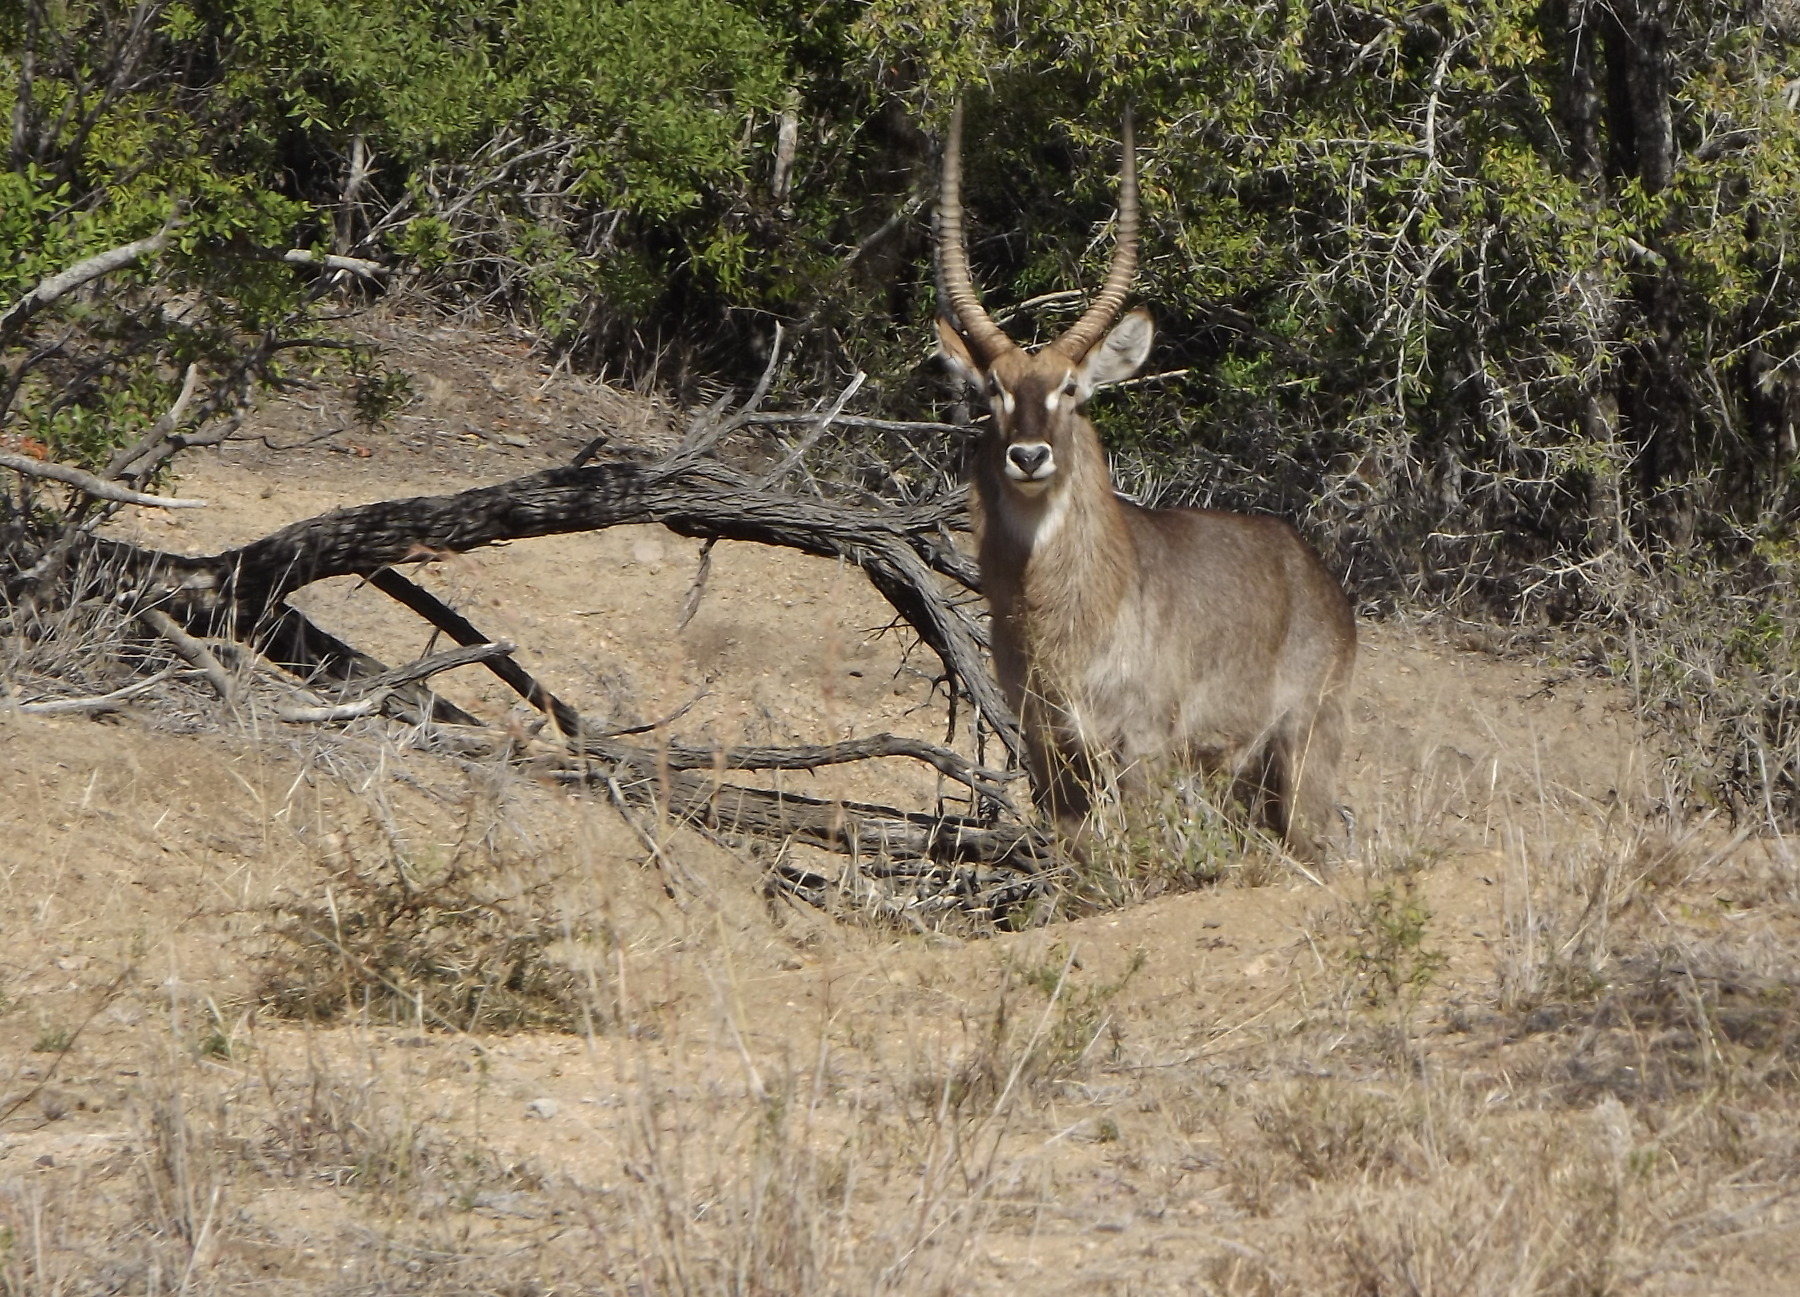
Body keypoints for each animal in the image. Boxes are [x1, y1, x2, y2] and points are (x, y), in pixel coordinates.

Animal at [936, 106, 1353, 859]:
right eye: (995, 390)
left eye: (1071, 388)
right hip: (1242, 778)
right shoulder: (1048, 748)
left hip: (1303, 751)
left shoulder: (1141, 747)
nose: (1029, 456)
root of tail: (1316, 573)